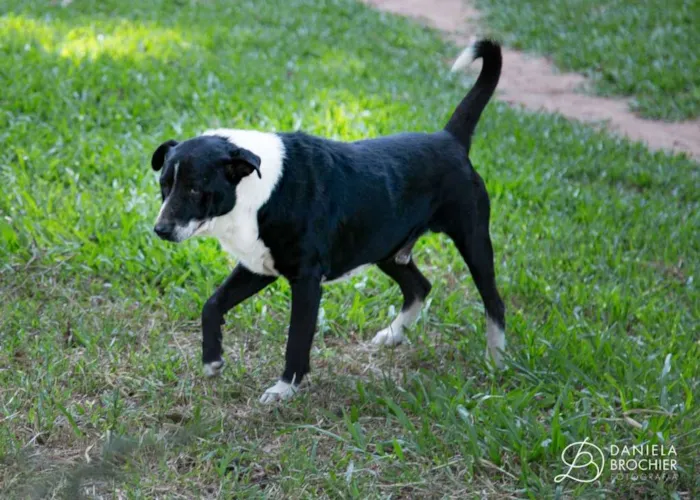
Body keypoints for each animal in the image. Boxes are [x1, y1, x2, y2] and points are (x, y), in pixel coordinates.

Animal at [152, 41, 504, 404]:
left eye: (195, 189)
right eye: (164, 185)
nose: (160, 230)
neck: (259, 186)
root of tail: (449, 138)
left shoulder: (306, 279)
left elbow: (297, 339)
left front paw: (284, 388)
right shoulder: (257, 266)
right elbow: (212, 305)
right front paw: (212, 360)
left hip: (473, 240)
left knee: (494, 303)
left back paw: (496, 359)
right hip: (386, 248)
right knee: (420, 286)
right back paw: (394, 334)